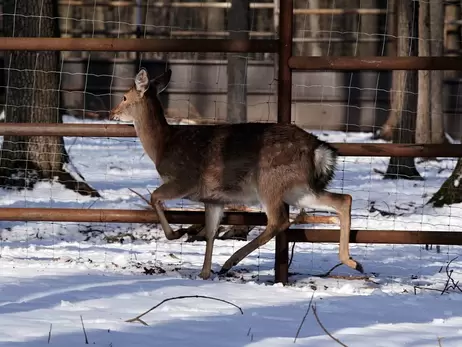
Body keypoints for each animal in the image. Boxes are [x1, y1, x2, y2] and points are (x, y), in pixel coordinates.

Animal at [110, 68, 362, 282]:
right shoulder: (213, 199)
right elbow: (211, 233)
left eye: (124, 97)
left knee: (279, 220)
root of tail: (318, 149)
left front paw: (177, 233)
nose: (112, 113)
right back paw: (352, 262)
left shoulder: (184, 180)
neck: (163, 146)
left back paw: (230, 262)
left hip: (270, 181)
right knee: (343, 199)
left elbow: (154, 197)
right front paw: (203, 273)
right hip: (298, 188)